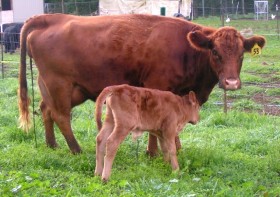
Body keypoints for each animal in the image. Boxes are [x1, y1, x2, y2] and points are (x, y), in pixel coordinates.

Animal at [18, 14, 264, 155]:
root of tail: (49, 17)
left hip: (63, 88)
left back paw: (52, 145)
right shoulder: (157, 87)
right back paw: (76, 149)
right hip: (59, 84)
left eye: (241, 54)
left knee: (45, 110)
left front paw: (177, 148)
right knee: (60, 115)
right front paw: (153, 153)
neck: (186, 50)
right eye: (215, 52)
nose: (231, 82)